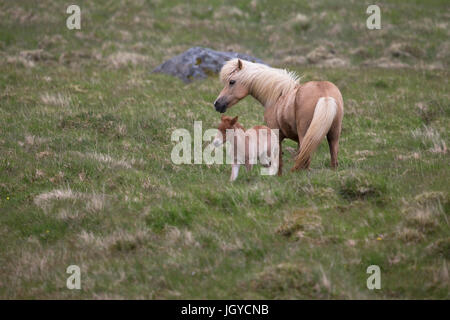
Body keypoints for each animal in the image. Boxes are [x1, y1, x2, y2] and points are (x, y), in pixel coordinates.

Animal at [214, 58, 344, 176]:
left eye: (231, 82)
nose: (217, 104)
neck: (278, 95)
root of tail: (325, 95)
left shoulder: (277, 135)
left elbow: (278, 160)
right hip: (333, 135)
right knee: (332, 160)